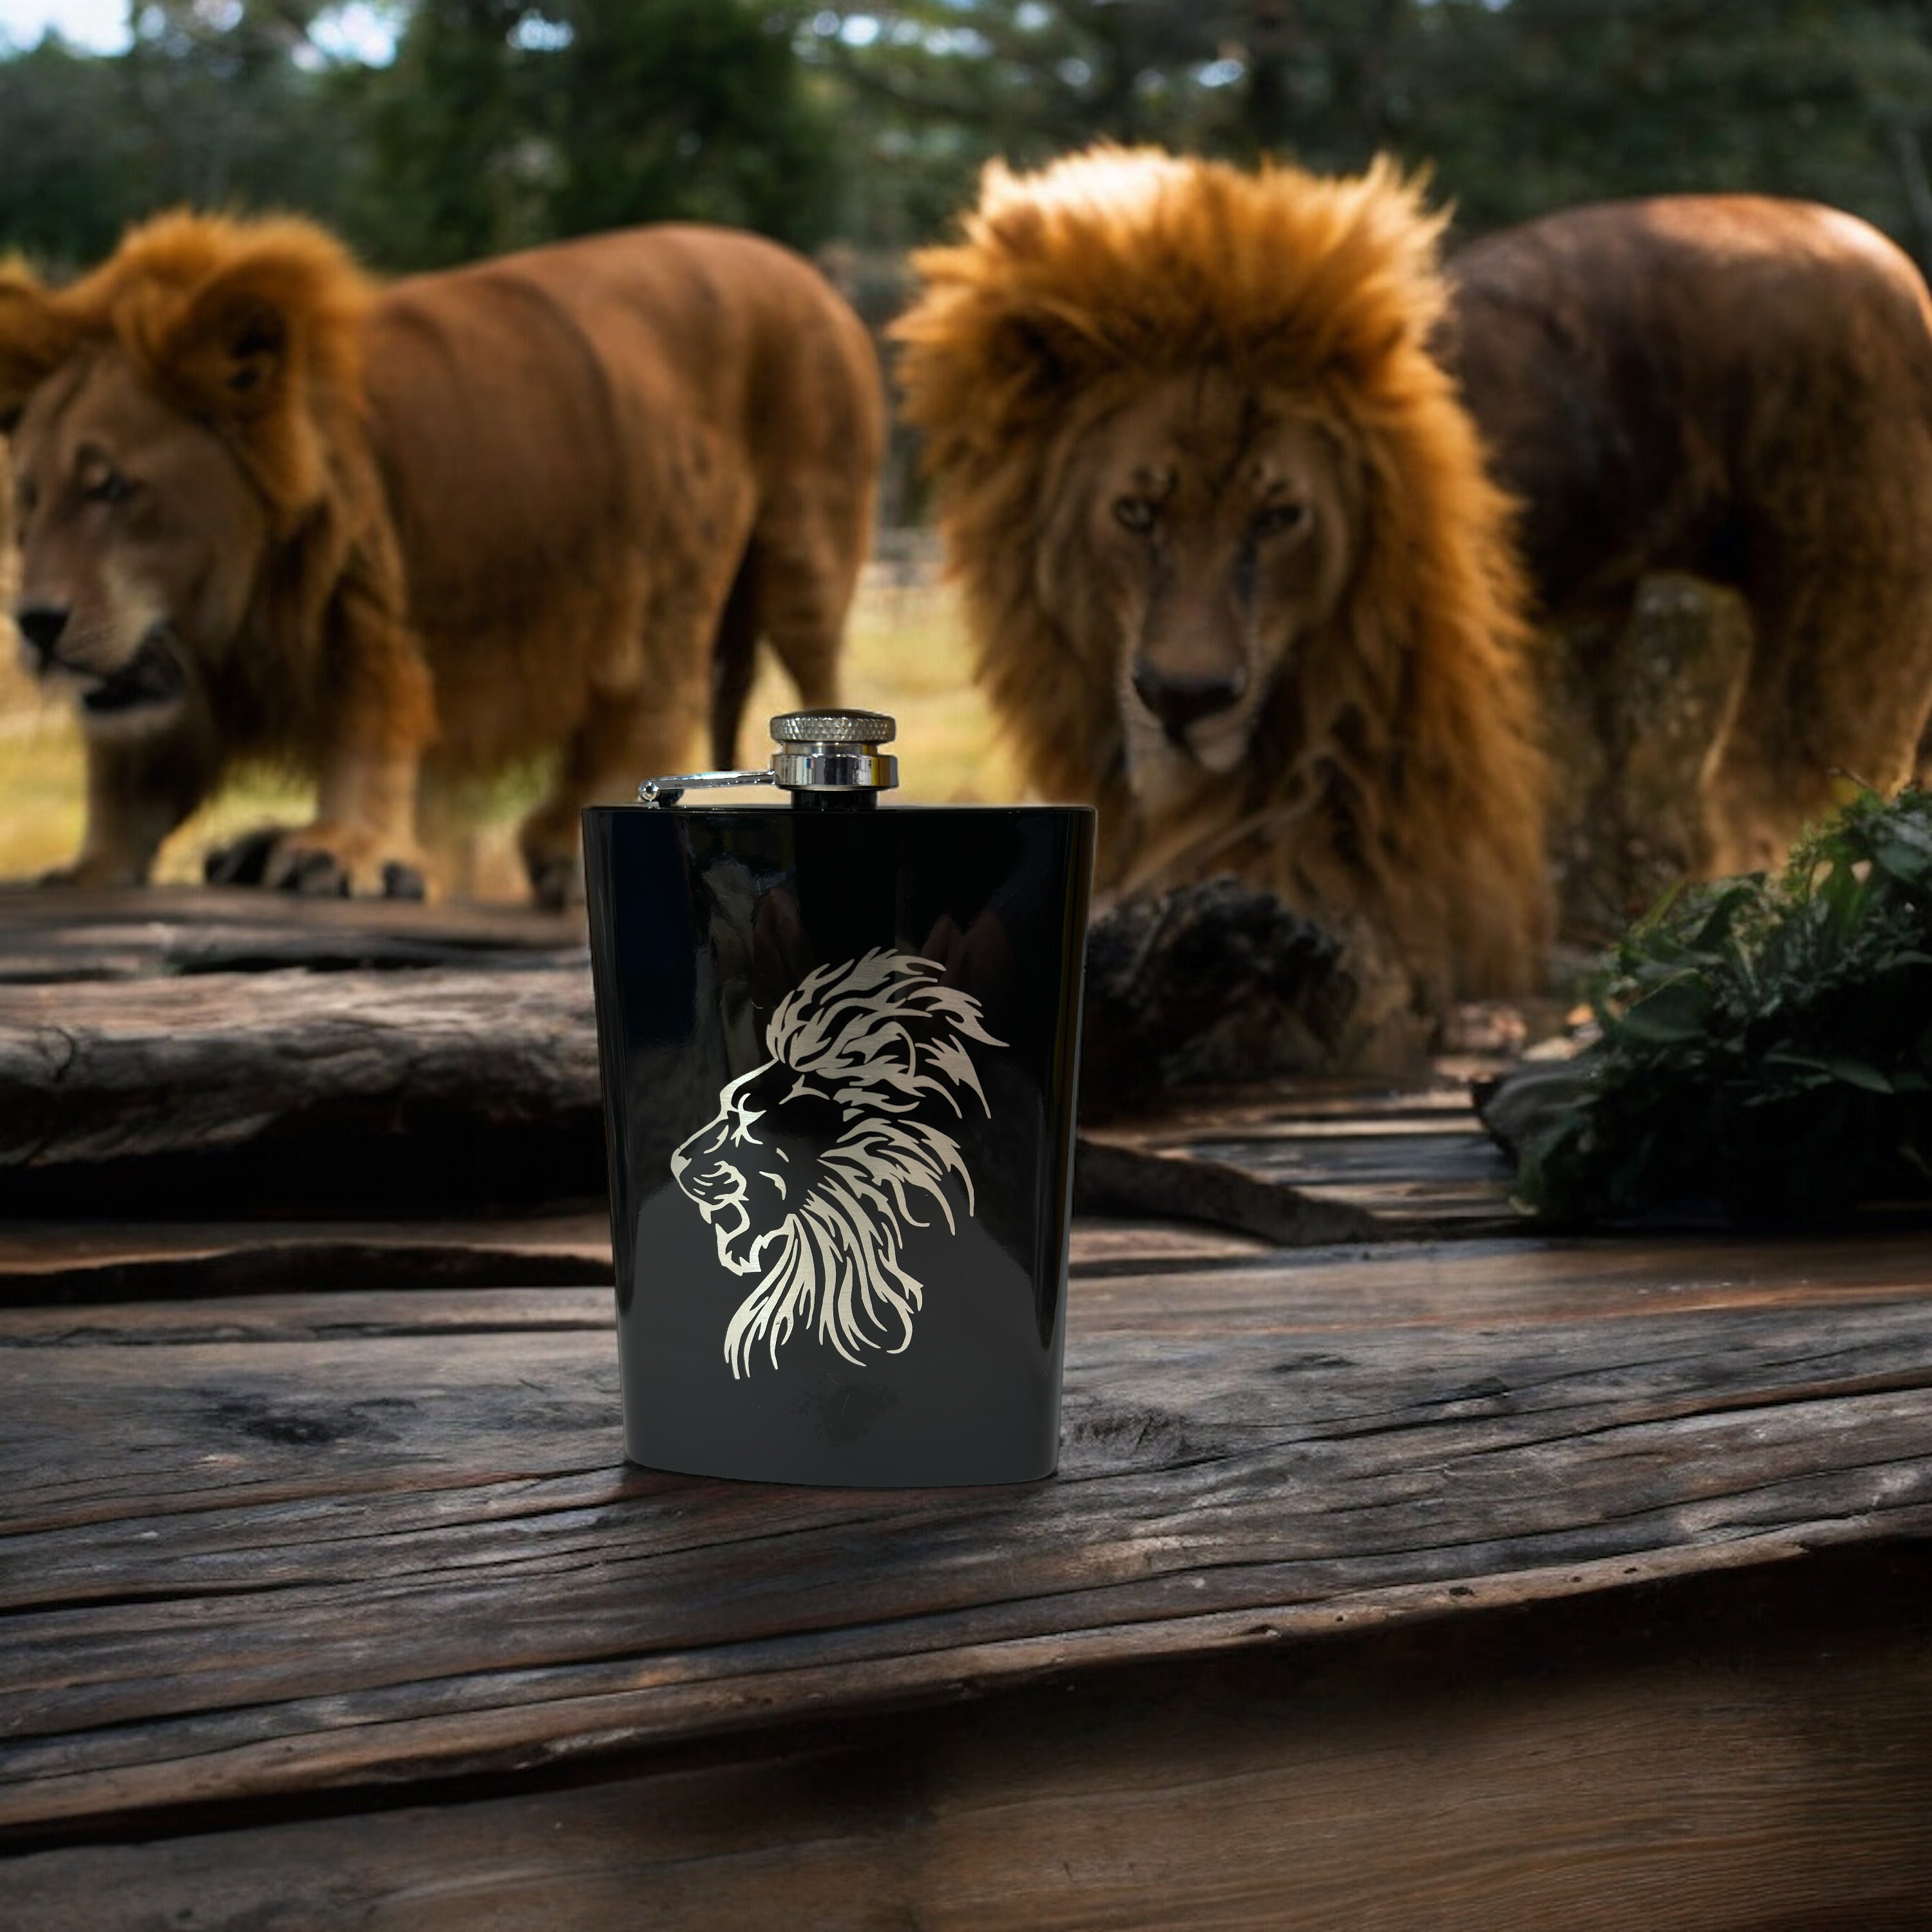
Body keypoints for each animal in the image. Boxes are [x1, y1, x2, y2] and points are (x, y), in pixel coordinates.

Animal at [0, 213, 883, 902]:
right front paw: (87, 870)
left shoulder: (362, 599)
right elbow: (129, 785)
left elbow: (370, 718)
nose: (35, 623)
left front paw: (343, 853)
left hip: (759, 563)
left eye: (114, 488)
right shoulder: (165, 691)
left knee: (704, 695)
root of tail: (809, 275)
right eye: (32, 497)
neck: (226, 618)